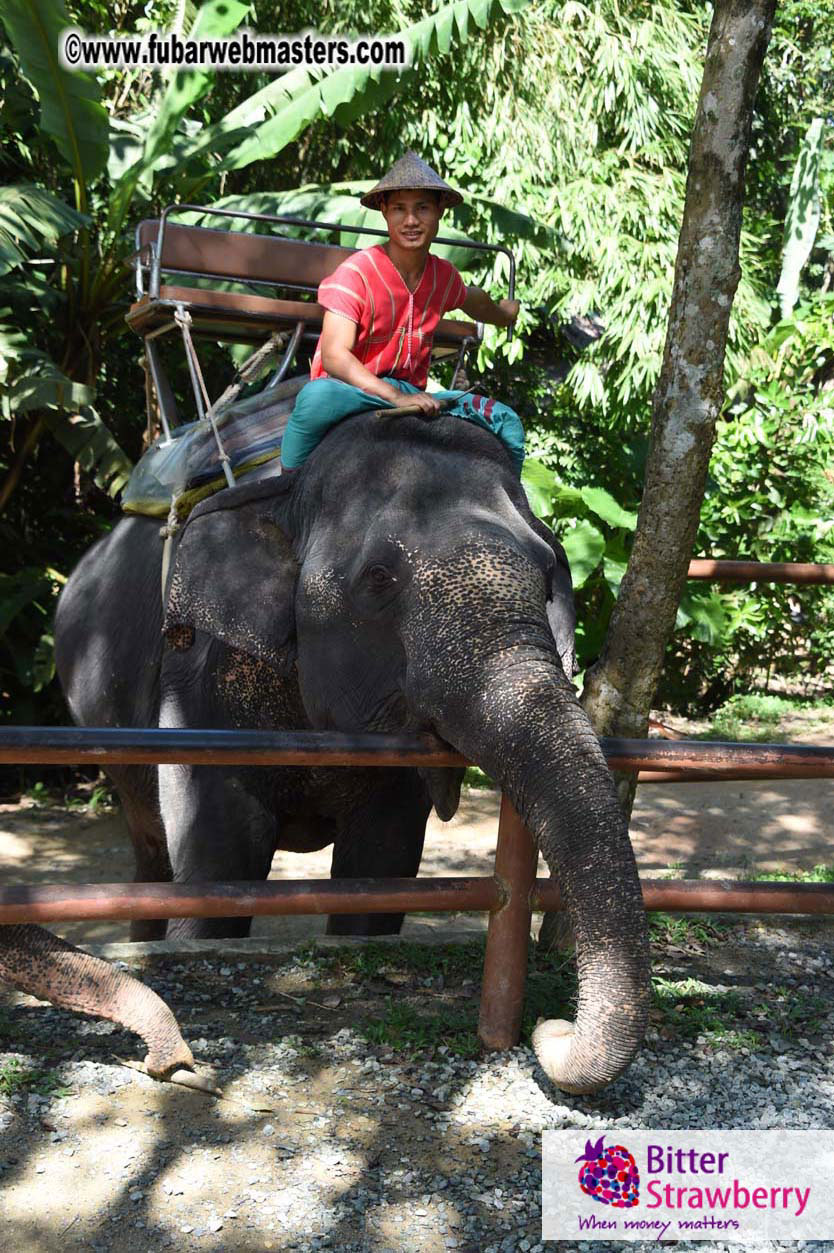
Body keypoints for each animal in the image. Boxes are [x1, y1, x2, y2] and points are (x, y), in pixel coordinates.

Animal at [3, 406, 650, 1095]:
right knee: (153, 845)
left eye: (549, 571)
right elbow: (219, 864)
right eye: (378, 579)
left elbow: (381, 865)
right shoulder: (198, 682)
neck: (290, 491)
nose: (550, 1031)